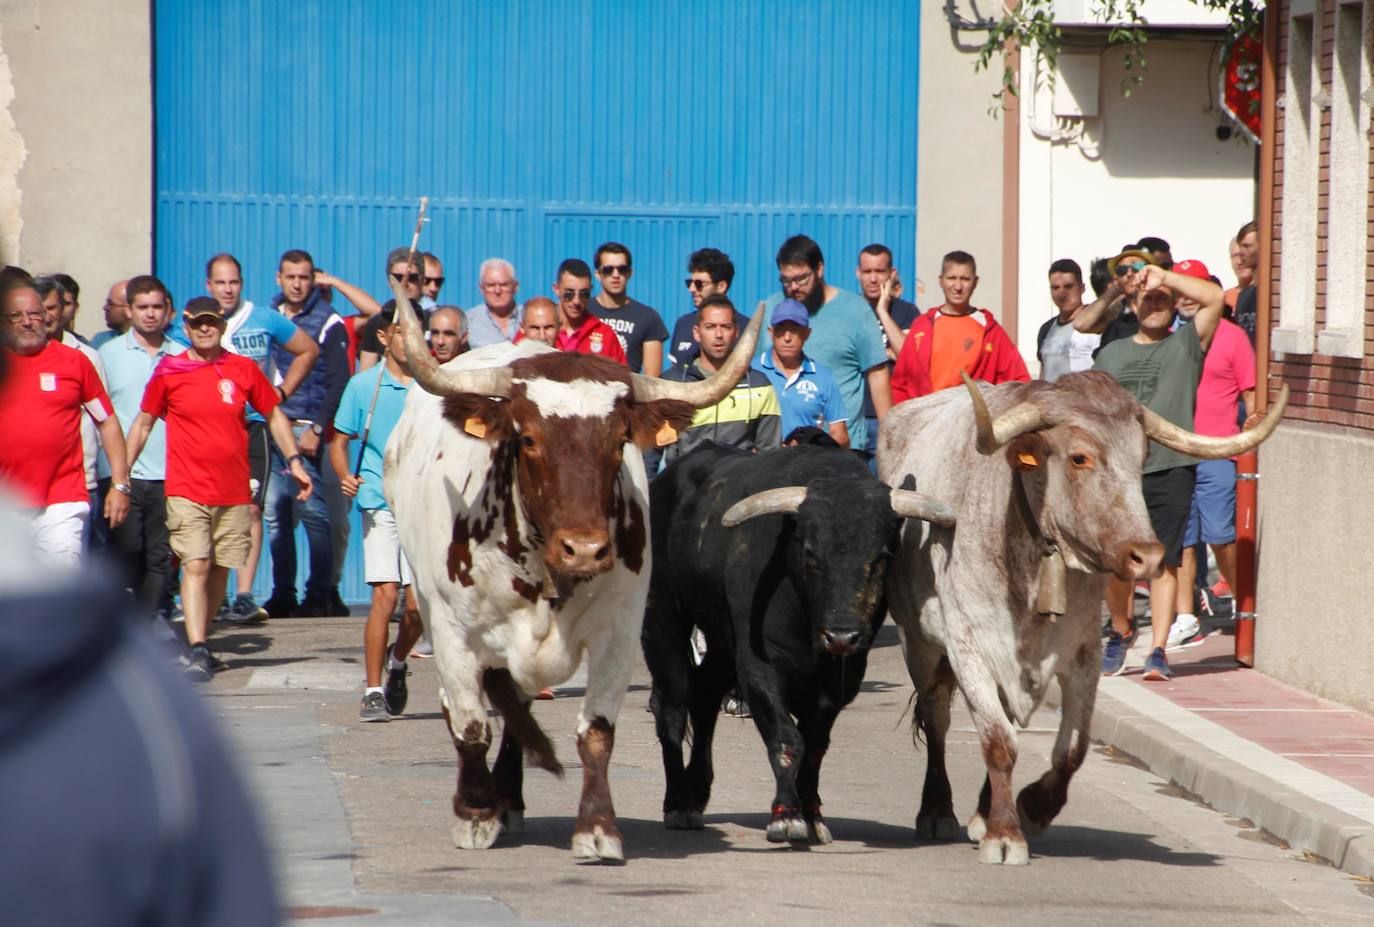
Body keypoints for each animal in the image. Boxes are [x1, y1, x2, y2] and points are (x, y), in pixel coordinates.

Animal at [637, 444, 950, 845]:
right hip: (662, 614)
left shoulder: (842, 679)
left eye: (880, 557)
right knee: (673, 704)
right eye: (811, 554)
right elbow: (787, 739)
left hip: (722, 637)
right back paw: (678, 803)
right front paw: (786, 816)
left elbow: (815, 744)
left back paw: (697, 793)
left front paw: (812, 814)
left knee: (704, 695)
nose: (841, 636)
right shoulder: (760, 666)